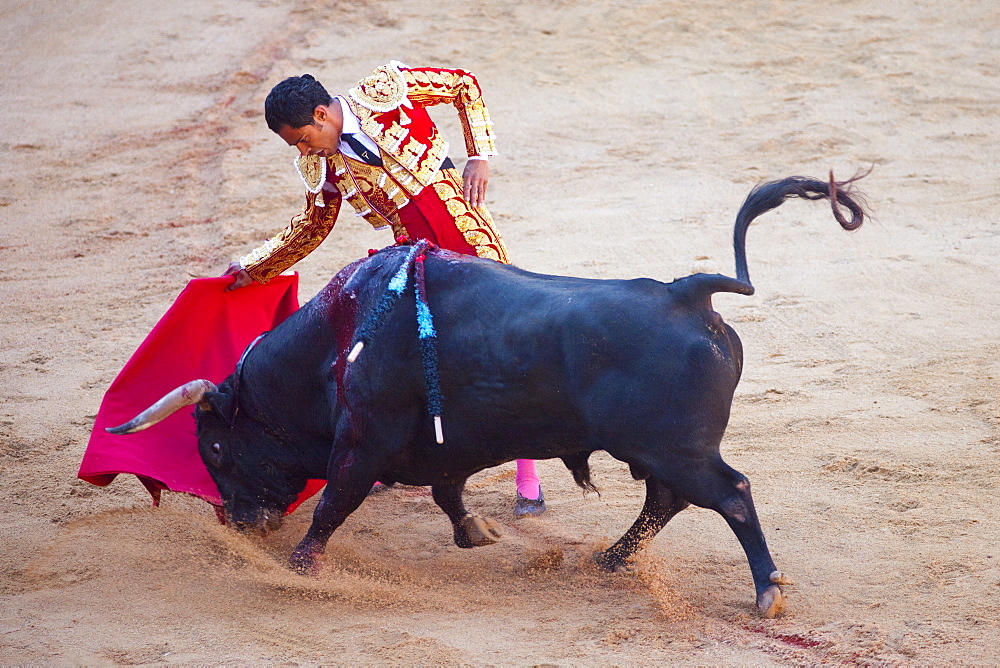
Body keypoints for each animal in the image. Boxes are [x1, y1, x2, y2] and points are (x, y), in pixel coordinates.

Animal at [111, 172, 868, 616]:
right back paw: (610, 559)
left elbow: (334, 503)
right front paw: (477, 530)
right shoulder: (441, 448)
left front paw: (300, 568)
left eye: (214, 447)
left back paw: (766, 591)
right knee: (667, 500)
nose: (242, 524)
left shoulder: (362, 439)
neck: (339, 340)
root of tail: (688, 292)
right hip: (655, 450)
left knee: (728, 494)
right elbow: (448, 493)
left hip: (677, 448)